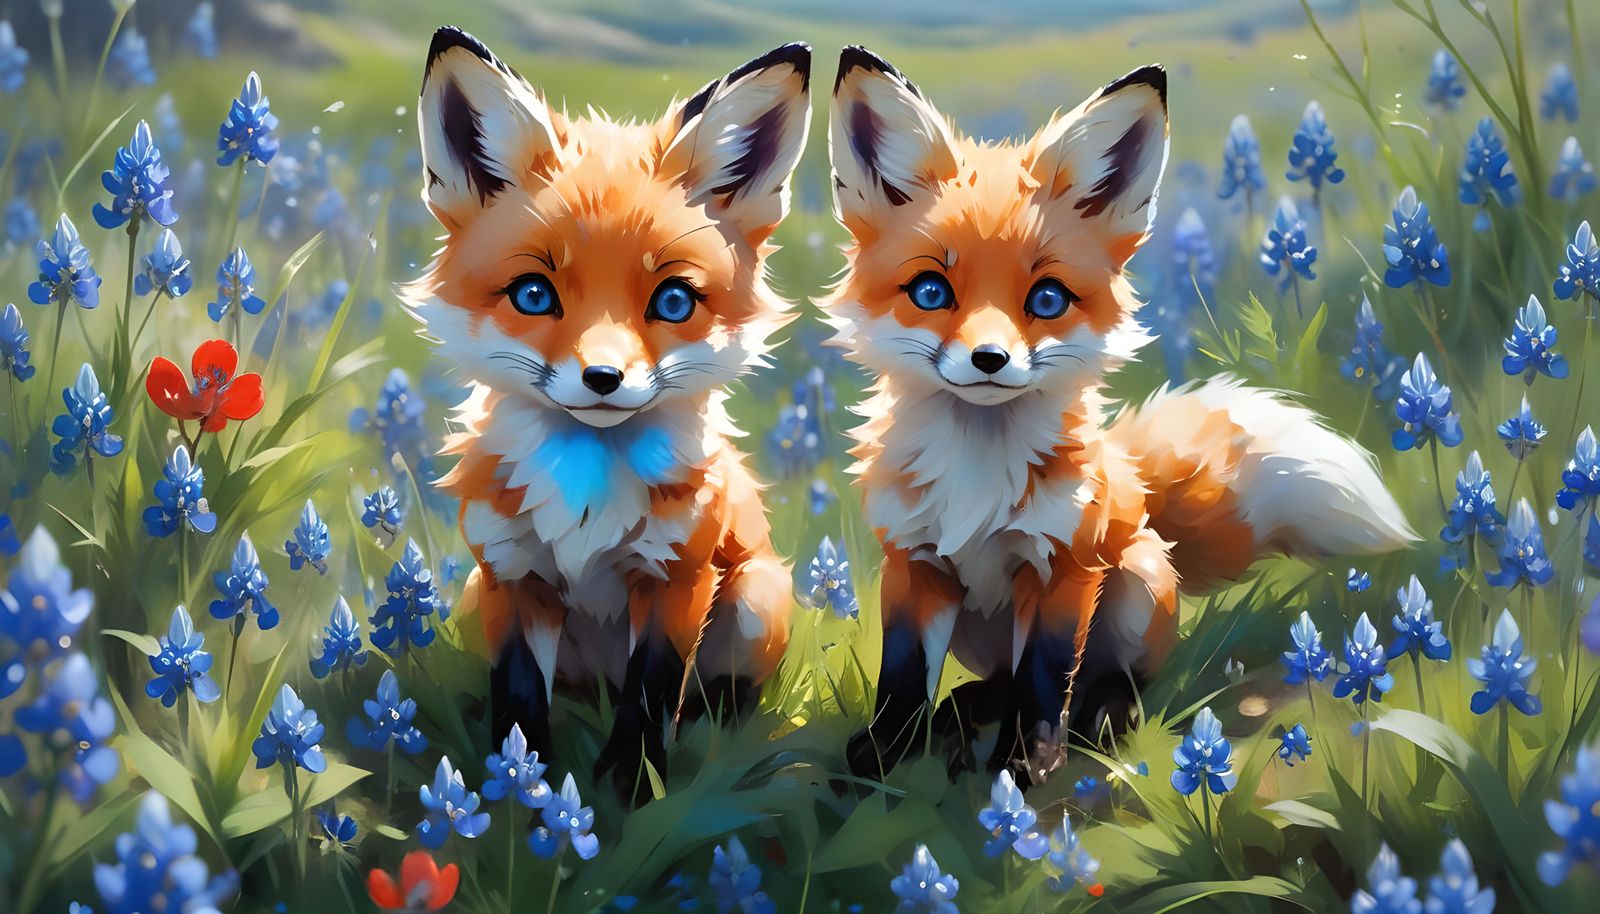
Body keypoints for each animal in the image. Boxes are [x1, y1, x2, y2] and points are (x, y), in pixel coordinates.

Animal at [404, 27, 810, 796]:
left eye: (673, 301)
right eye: (533, 295)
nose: (602, 377)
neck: (585, 490)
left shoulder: (675, 578)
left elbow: (651, 699)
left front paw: (631, 791)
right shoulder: (512, 577)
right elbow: (518, 701)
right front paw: (520, 789)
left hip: (753, 600)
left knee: (717, 703)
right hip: (473, 595)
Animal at [821, 47, 1417, 785]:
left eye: (1047, 299)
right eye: (931, 292)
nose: (990, 359)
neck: (978, 471)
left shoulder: (1063, 569)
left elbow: (1044, 680)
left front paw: (1023, 766)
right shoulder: (916, 565)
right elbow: (903, 680)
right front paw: (881, 761)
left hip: (1134, 581)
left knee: (1110, 679)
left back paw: (1101, 716)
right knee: (995, 682)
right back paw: (962, 714)